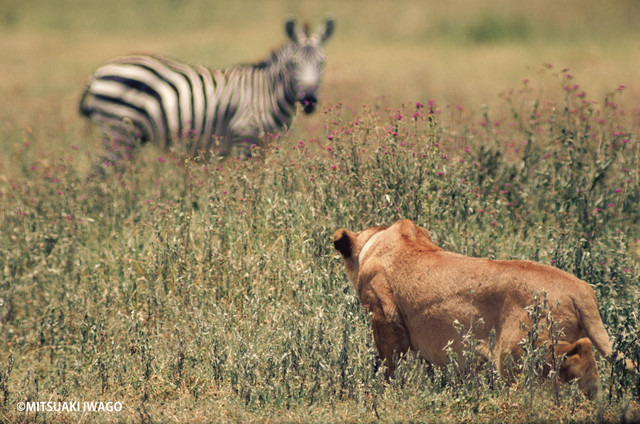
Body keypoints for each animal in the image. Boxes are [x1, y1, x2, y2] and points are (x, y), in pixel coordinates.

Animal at [80, 15, 336, 174]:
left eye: (322, 63)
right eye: (293, 64)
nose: (309, 100)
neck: (268, 93)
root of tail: (98, 72)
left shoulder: (264, 146)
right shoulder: (245, 138)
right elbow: (251, 183)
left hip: (130, 136)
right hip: (117, 132)